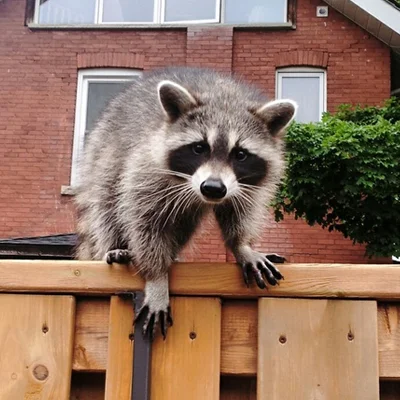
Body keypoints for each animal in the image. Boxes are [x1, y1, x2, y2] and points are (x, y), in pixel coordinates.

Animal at [76, 67, 296, 340]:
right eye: (199, 148)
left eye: (240, 154)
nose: (213, 188)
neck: (224, 97)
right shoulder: (147, 167)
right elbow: (144, 218)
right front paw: (157, 276)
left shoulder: (244, 186)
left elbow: (240, 210)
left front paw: (241, 245)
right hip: (104, 153)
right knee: (108, 201)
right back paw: (115, 245)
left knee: (183, 224)